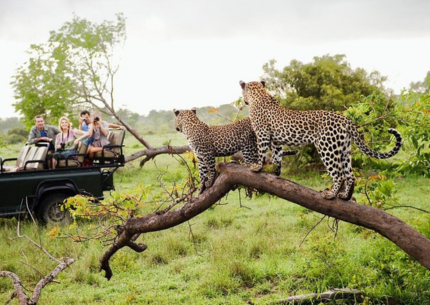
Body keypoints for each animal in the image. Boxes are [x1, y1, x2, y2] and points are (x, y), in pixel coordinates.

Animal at [239, 79, 404, 201]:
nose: (244, 101)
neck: (259, 95)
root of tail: (345, 119)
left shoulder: (262, 134)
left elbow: (261, 151)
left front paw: (257, 167)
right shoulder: (276, 140)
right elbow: (277, 156)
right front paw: (275, 172)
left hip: (327, 148)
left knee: (339, 174)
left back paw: (330, 195)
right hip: (344, 149)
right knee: (350, 175)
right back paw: (345, 196)